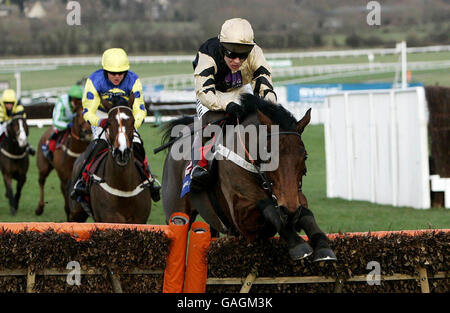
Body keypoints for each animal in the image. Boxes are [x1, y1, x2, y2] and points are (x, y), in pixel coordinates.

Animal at [160, 93, 336, 260]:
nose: (289, 211)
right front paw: (298, 245)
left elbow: (306, 214)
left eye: (304, 156)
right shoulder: (243, 220)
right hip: (176, 212)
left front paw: (323, 247)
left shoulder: (295, 197)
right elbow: (269, 208)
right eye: (268, 156)